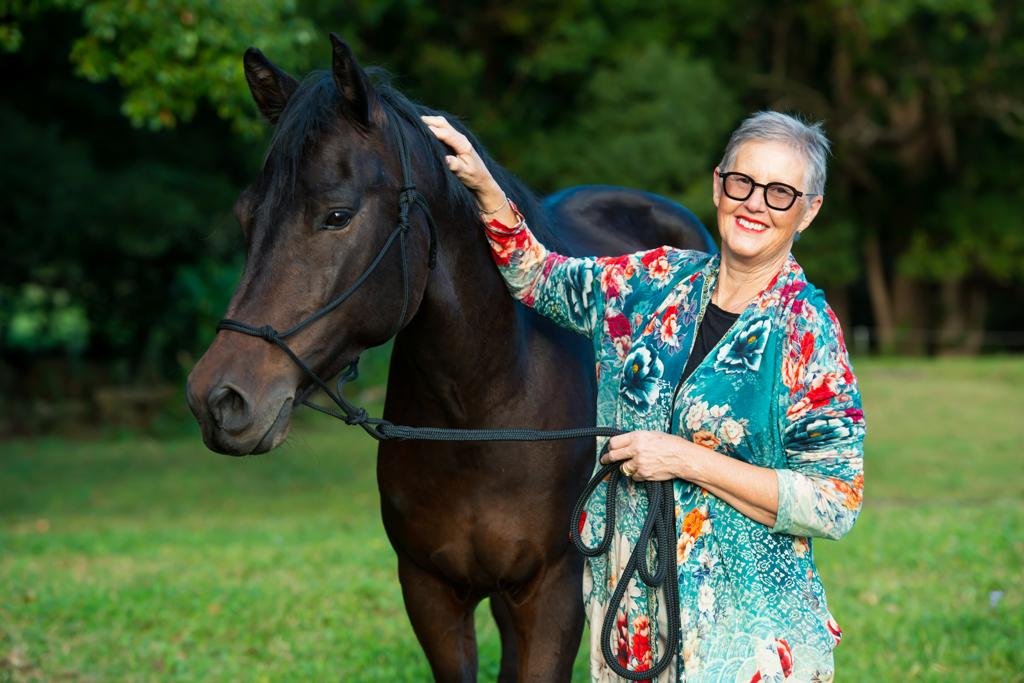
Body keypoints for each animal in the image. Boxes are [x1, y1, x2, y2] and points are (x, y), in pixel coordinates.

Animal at [186, 37, 712, 683]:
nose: (217, 399)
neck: (481, 411)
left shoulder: (552, 595)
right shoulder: (430, 592)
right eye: (246, 216)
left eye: (337, 215)